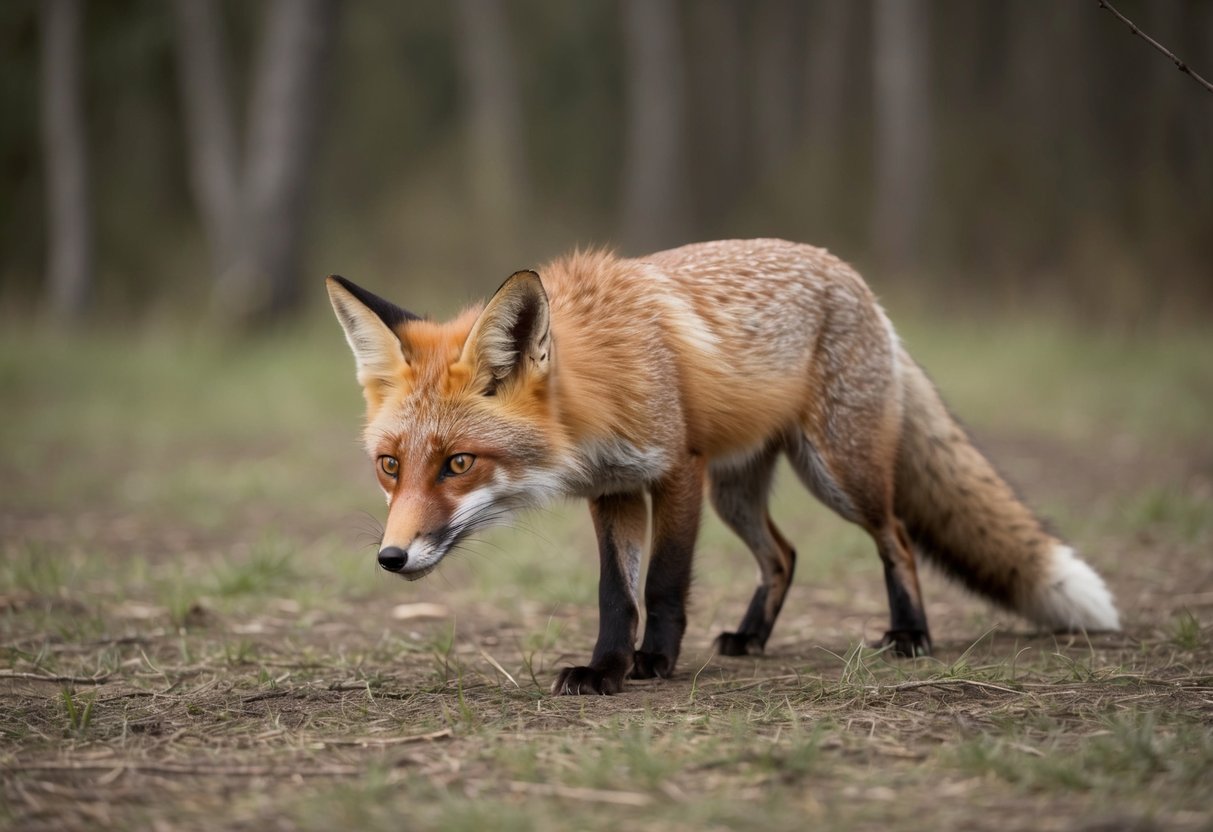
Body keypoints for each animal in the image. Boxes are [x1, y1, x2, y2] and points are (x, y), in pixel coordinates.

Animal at [326, 238, 1120, 695]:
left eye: (459, 462)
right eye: (391, 466)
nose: (391, 557)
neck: (603, 384)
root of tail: (854, 279)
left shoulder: (678, 469)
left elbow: (665, 583)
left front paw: (653, 663)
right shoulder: (615, 490)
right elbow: (616, 594)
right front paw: (605, 668)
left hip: (836, 474)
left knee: (895, 536)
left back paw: (910, 635)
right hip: (738, 494)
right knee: (784, 554)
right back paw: (752, 639)